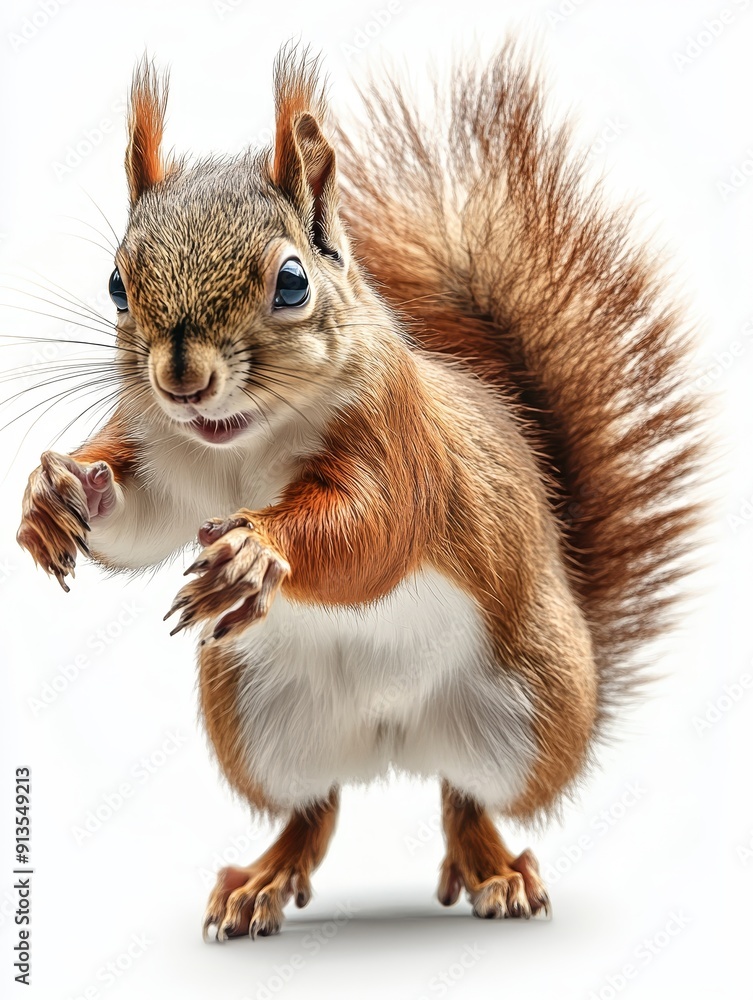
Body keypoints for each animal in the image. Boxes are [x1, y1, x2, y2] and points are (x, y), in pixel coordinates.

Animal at [16, 45, 702, 939]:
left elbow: (374, 532)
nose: (181, 381)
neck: (242, 445)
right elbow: (140, 520)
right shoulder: (163, 459)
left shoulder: (398, 447)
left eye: (292, 283)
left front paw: (254, 552)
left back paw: (494, 869)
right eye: (115, 285)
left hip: (529, 709)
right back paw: (262, 880)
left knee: (465, 799)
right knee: (314, 807)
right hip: (255, 721)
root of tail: (392, 738)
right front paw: (55, 492)